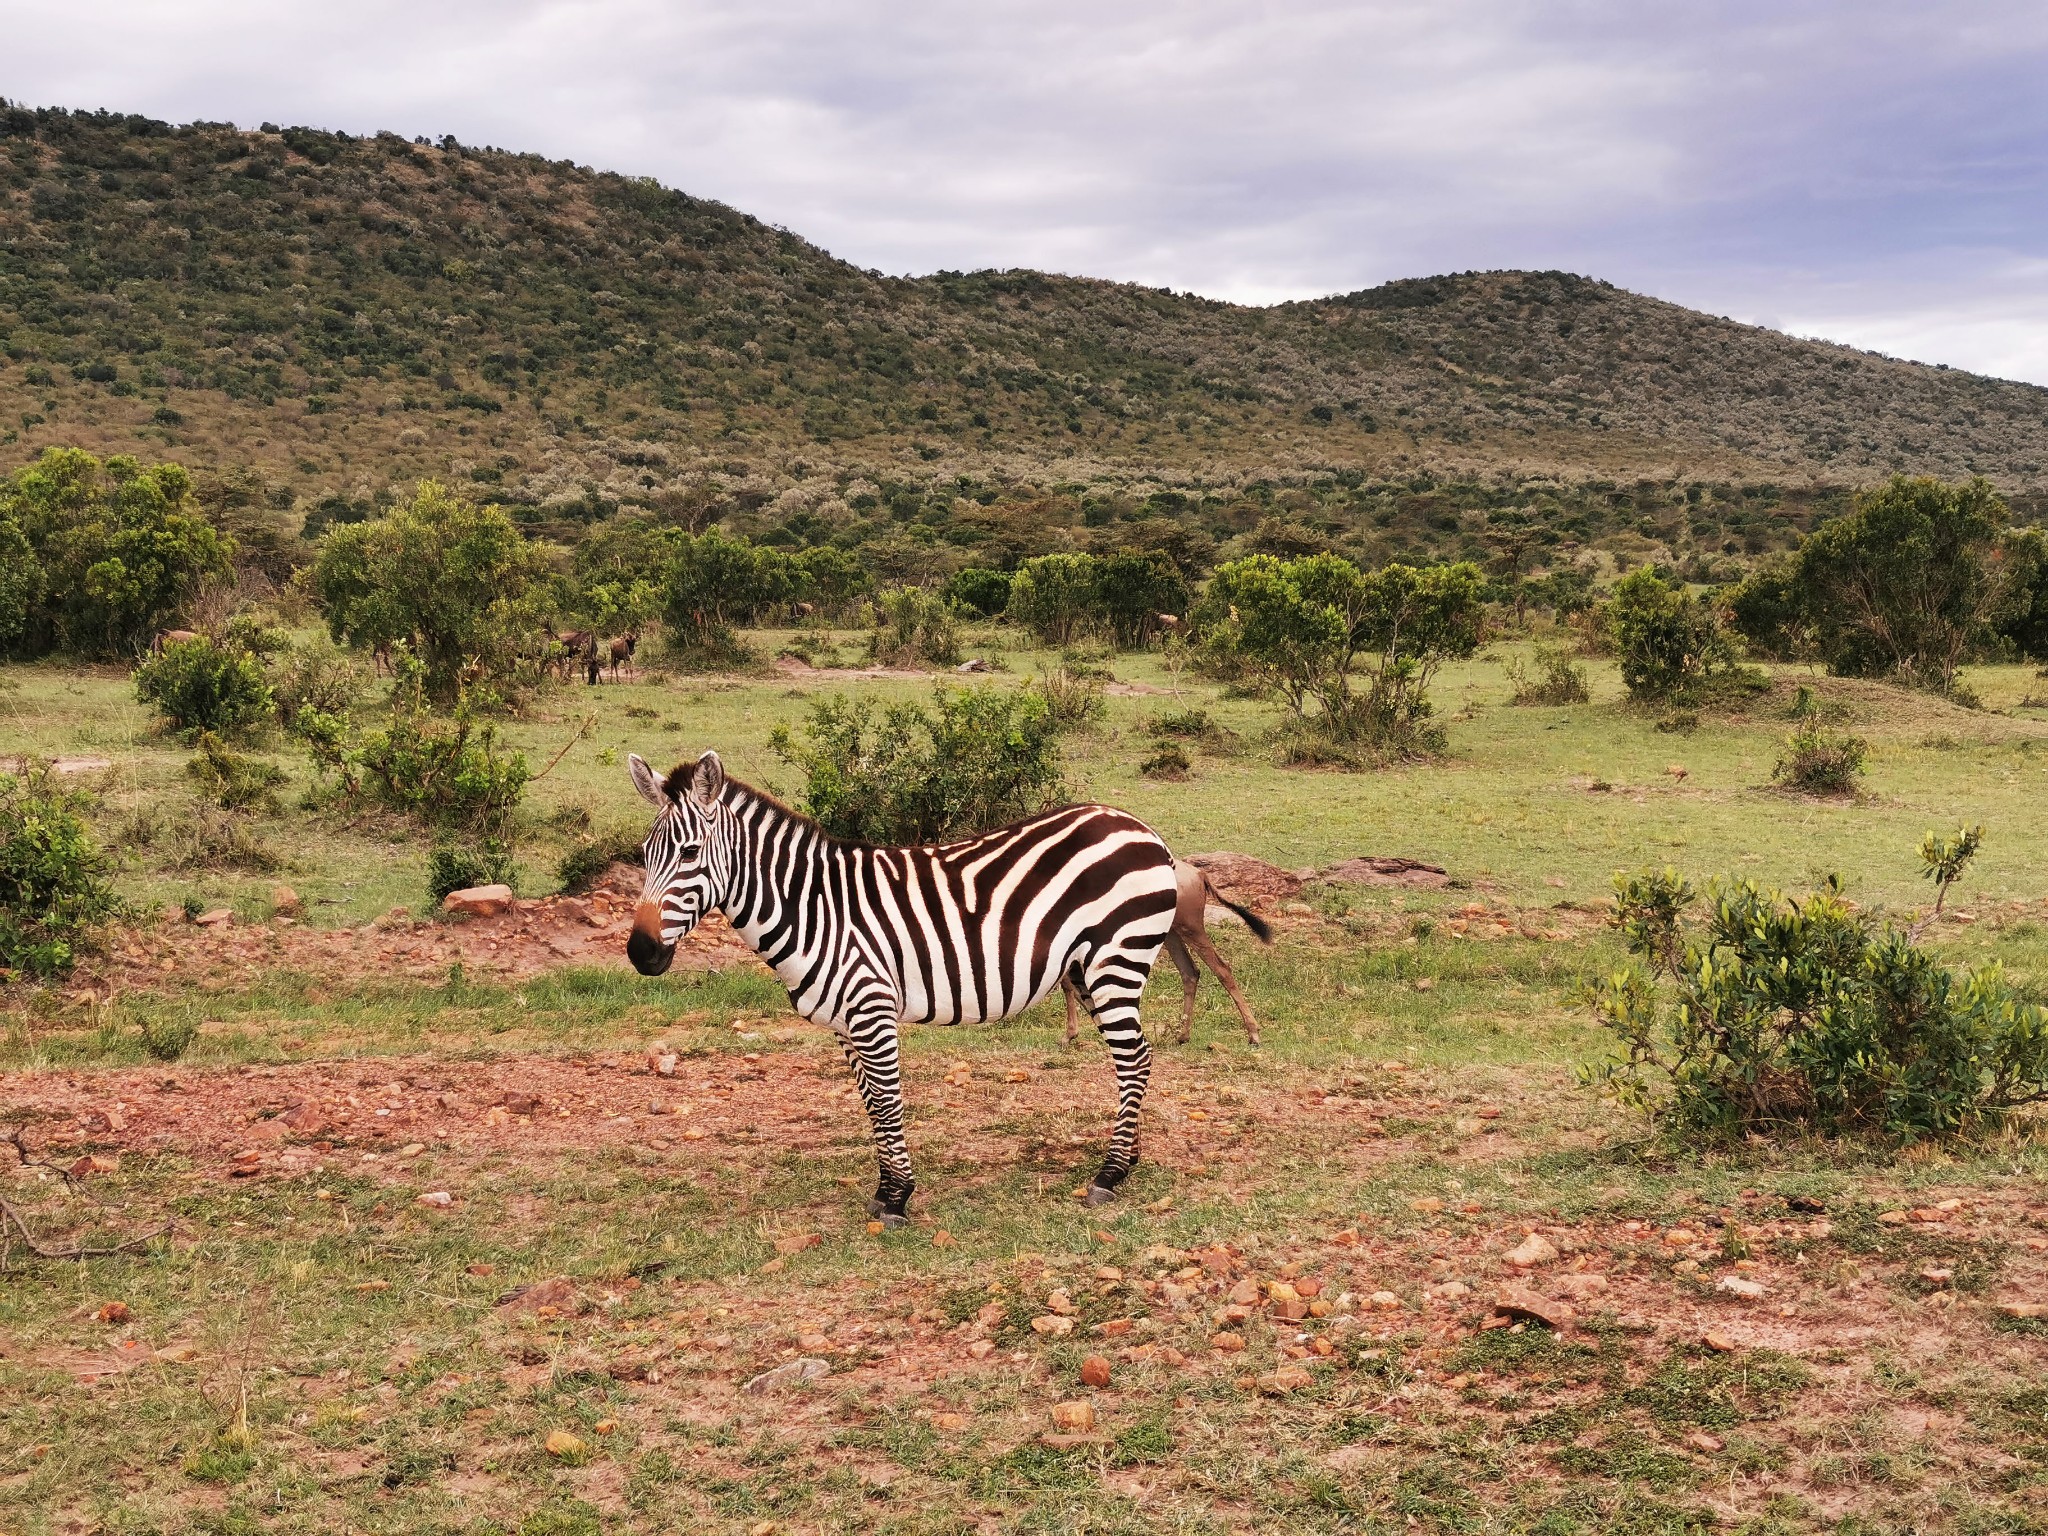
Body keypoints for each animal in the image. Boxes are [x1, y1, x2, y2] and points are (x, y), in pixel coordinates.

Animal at [622, 749, 1179, 1228]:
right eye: (645, 855)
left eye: (690, 852)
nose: (640, 953)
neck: (814, 908)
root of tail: (1138, 826)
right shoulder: (845, 1023)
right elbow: (872, 1103)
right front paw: (885, 1189)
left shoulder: (872, 1008)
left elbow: (888, 1102)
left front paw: (897, 1198)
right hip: (1087, 971)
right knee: (1136, 1058)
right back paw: (1127, 1159)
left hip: (1116, 960)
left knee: (1134, 1059)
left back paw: (1109, 1174)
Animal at [1064, 868, 1269, 1048]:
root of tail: (1199, 874)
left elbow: (1070, 986)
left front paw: (1071, 1034)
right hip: (1172, 935)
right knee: (1190, 972)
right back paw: (1183, 1036)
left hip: (1190, 929)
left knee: (1221, 968)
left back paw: (1253, 1034)